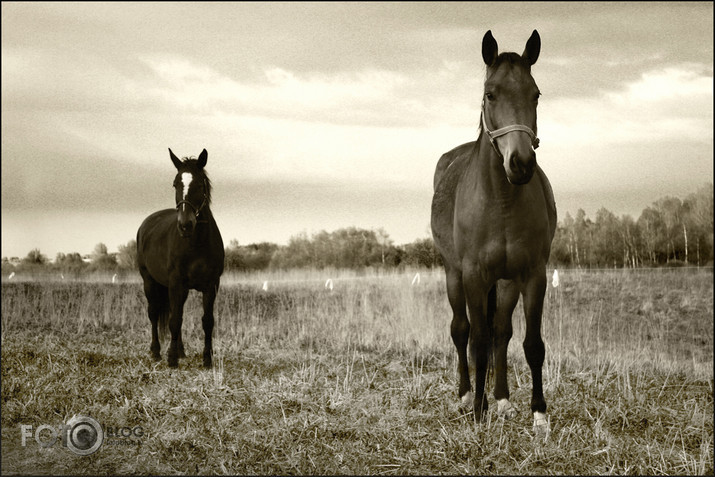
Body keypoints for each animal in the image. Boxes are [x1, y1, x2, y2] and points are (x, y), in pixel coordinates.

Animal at [134, 149, 224, 368]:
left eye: (200, 184)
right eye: (176, 184)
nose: (185, 225)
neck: (196, 244)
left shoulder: (211, 285)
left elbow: (207, 321)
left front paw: (207, 359)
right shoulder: (176, 283)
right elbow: (174, 320)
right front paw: (171, 359)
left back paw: (181, 351)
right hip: (150, 281)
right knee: (154, 313)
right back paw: (156, 352)